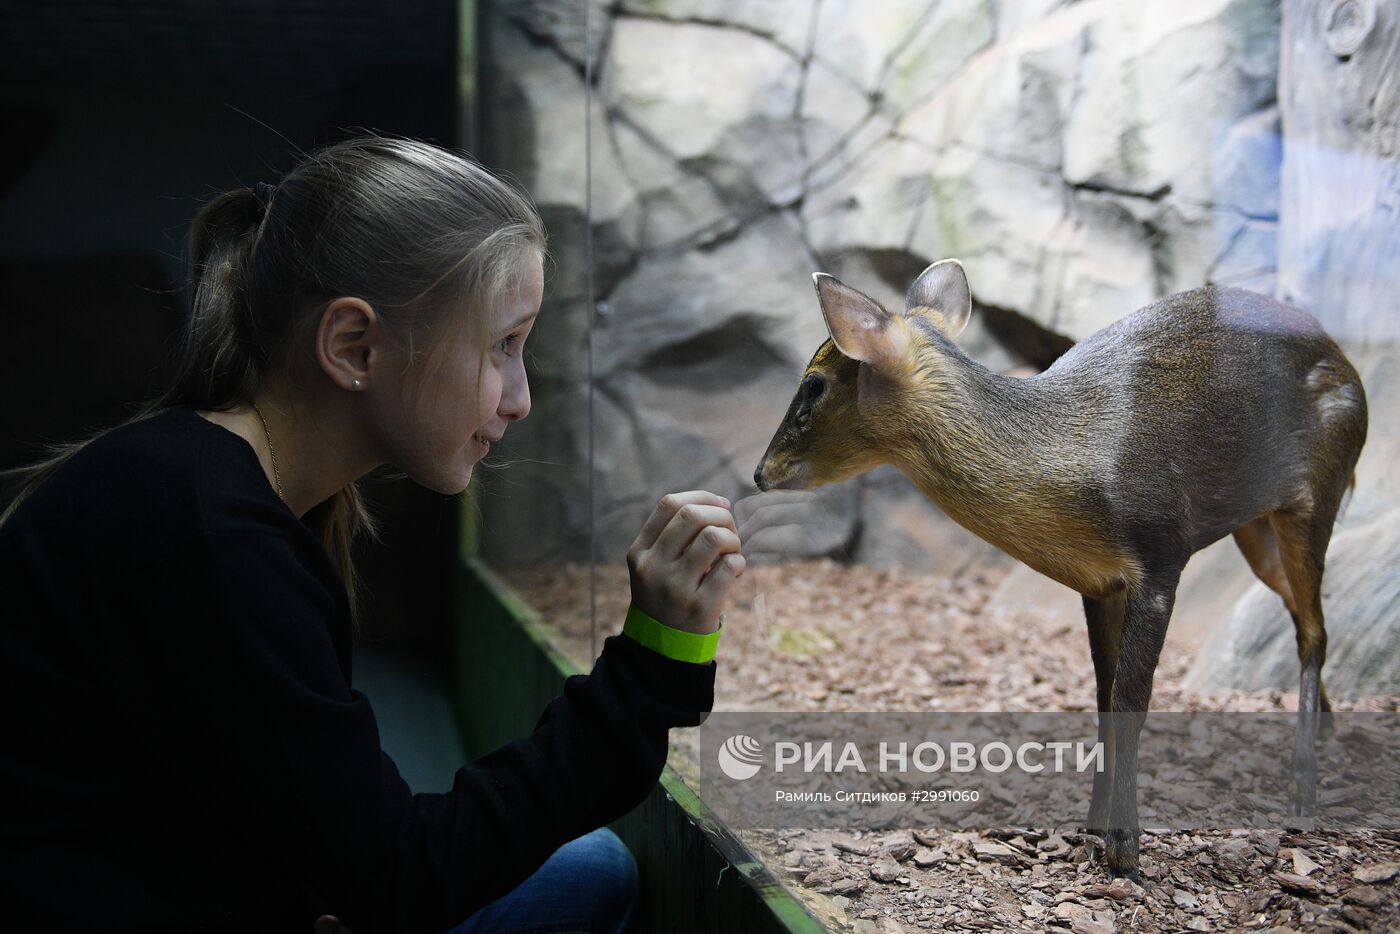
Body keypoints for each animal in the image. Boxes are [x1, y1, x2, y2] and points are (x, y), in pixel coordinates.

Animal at [756, 259, 1366, 879]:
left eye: (814, 384)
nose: (760, 472)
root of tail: (1342, 358)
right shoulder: (1098, 582)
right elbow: (1101, 697)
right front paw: (1092, 826)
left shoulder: (1160, 558)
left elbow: (1132, 699)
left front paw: (1125, 849)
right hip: (1256, 526)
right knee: (1301, 614)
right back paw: (1330, 730)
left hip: (1317, 491)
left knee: (1315, 631)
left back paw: (1303, 790)